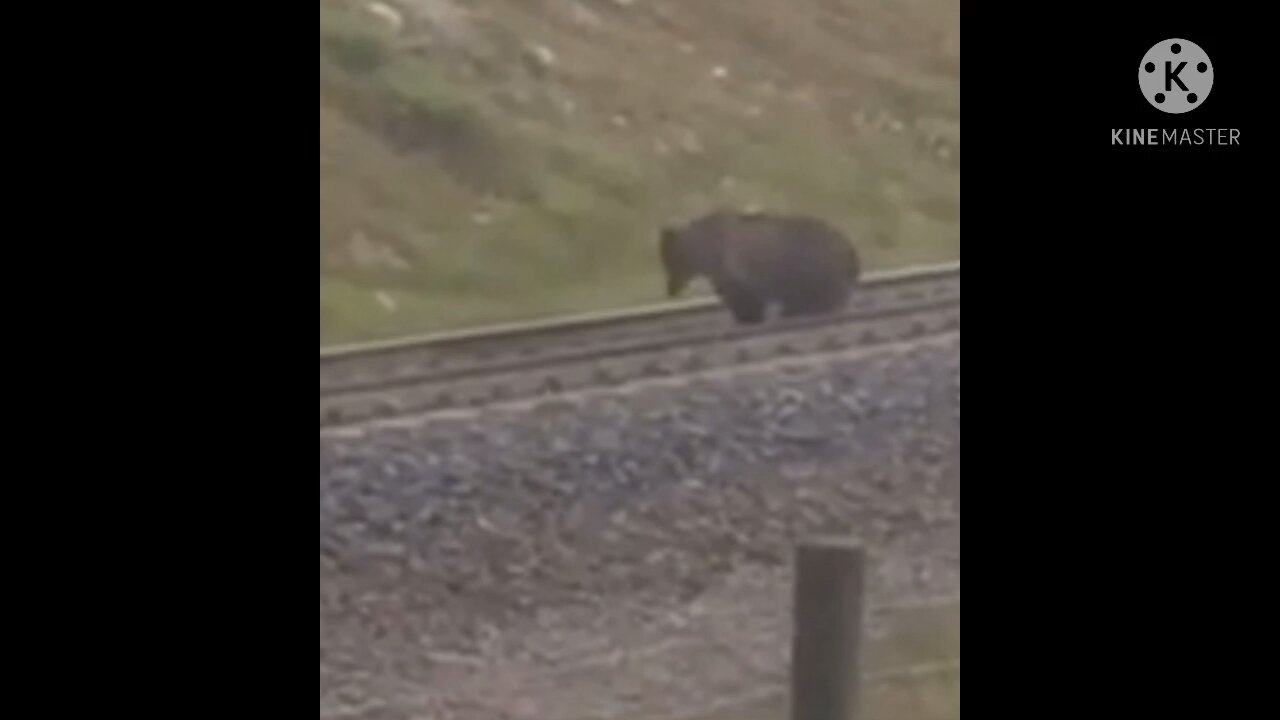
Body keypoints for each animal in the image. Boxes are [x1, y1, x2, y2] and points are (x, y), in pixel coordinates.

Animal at [660, 206, 860, 320]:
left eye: (670, 262)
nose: (670, 290)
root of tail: (849, 246)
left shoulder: (735, 268)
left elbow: (744, 297)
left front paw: (748, 317)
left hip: (814, 264)